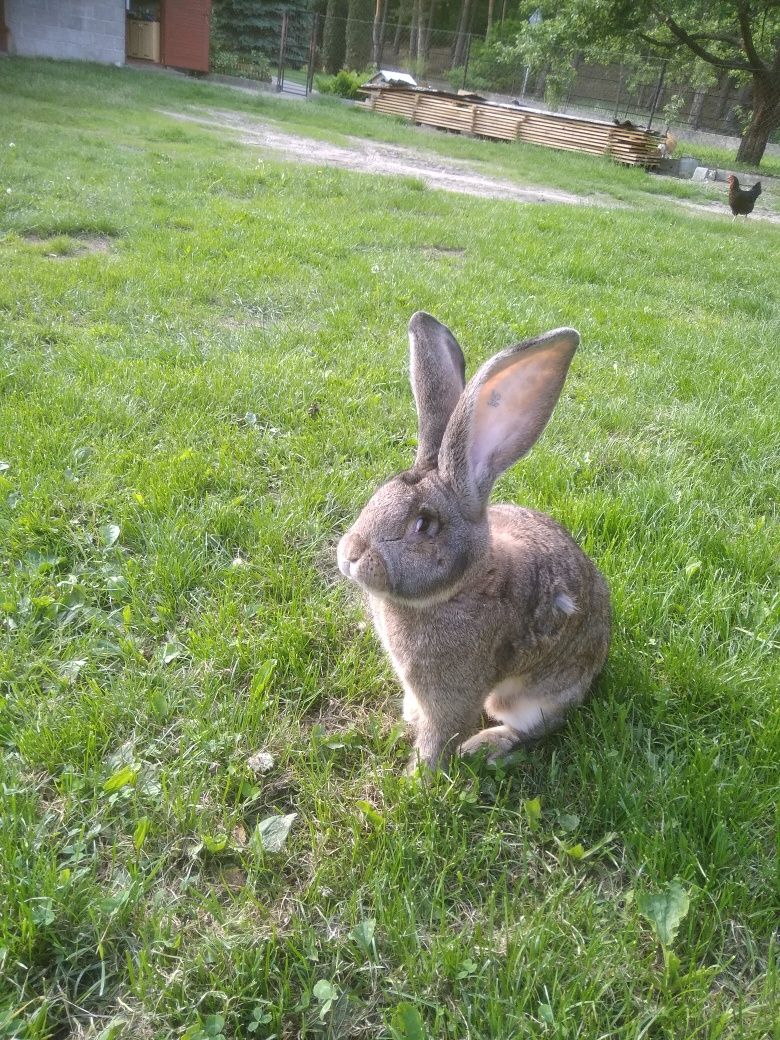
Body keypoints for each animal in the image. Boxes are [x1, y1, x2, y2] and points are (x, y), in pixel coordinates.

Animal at [339, 312, 615, 769]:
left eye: (424, 525)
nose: (350, 554)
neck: (463, 585)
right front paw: (406, 722)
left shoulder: (453, 694)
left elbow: (440, 734)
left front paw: (418, 776)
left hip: (536, 697)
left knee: (531, 727)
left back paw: (483, 747)